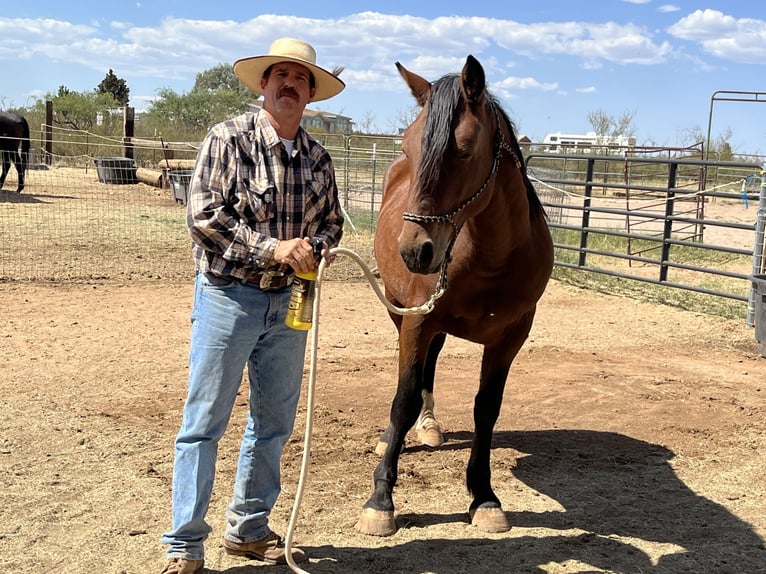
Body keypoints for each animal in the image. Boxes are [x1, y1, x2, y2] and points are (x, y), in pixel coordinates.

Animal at [356, 56, 556, 536]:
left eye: (463, 149)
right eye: (408, 148)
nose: (415, 251)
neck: (493, 257)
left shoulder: (510, 339)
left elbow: (487, 409)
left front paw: (483, 496)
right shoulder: (417, 321)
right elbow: (403, 399)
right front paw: (381, 500)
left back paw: (429, 425)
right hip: (402, 312)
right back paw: (396, 436)